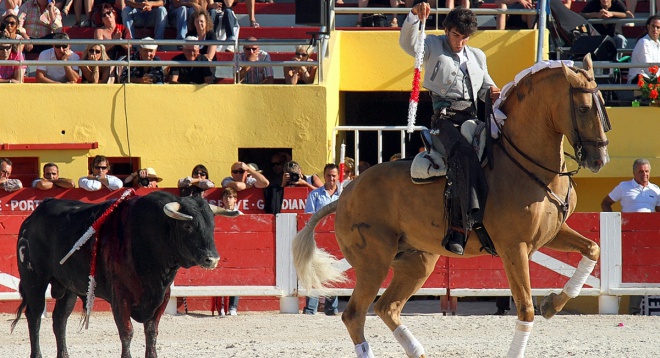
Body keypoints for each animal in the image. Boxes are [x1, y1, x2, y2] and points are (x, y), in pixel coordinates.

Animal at [10, 192, 237, 356]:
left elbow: (151, 333)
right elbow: (127, 332)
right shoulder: (120, 297)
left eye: (212, 225)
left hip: (68, 287)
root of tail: (32, 217)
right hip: (34, 280)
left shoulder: (162, 297)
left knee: (59, 320)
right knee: (34, 316)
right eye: (188, 226)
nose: (212, 259)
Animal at [292, 54, 612, 356]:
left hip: (417, 262)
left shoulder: (550, 234)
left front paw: (553, 304)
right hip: (374, 264)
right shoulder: (514, 247)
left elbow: (593, 248)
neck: (526, 165)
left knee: (387, 307)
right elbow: (525, 308)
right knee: (355, 315)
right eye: (584, 108)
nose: (600, 160)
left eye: (603, 105)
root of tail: (346, 194)